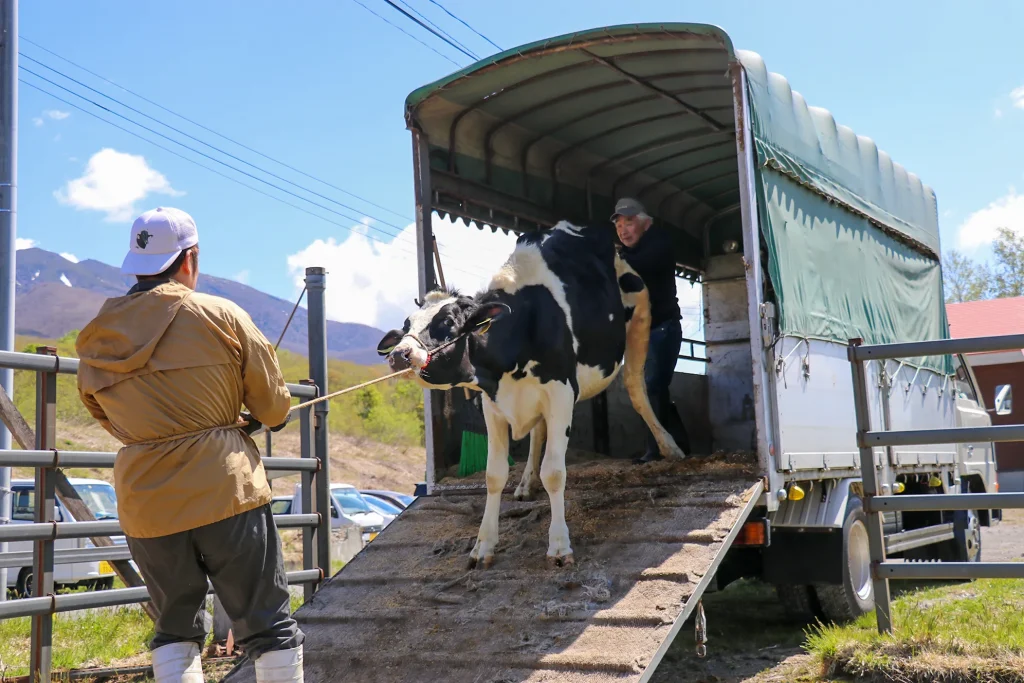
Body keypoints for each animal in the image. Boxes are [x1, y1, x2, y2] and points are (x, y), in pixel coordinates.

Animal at [378, 222, 688, 569]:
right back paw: (527, 483)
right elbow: (494, 475)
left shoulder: (561, 393)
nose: (400, 354)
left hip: (640, 317)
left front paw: (560, 546)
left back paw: (670, 447)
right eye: (406, 323)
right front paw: (483, 546)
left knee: (637, 387)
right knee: (538, 431)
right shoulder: (493, 404)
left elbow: (554, 472)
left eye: (447, 321)